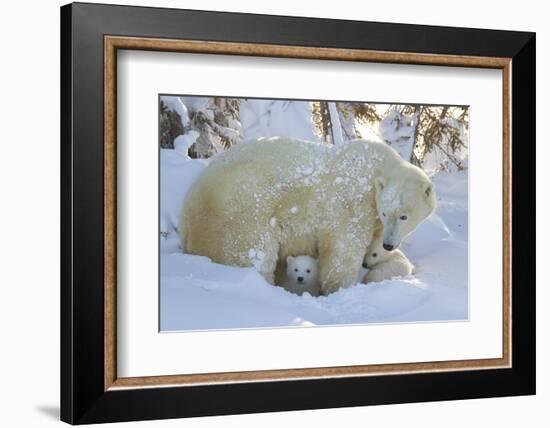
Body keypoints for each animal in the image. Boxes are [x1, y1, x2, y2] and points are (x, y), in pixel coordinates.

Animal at [183, 137, 438, 294]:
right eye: (387, 212)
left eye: (403, 216)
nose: (388, 244)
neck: (377, 168)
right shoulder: (352, 204)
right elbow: (342, 252)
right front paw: (339, 289)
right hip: (240, 215)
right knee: (252, 254)